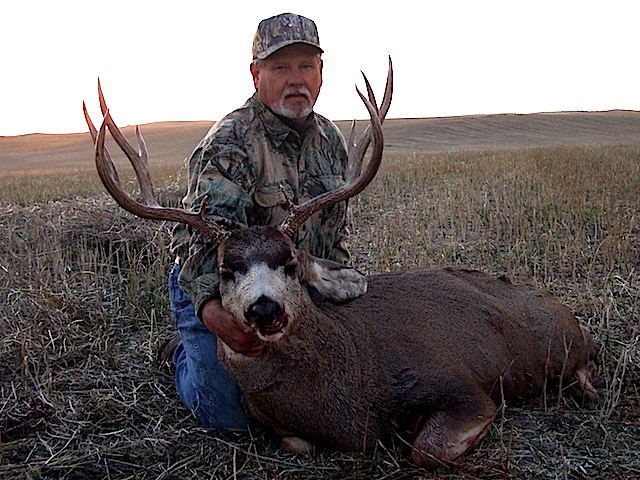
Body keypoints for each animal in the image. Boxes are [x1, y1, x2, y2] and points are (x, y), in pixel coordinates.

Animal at [83, 60, 598, 469]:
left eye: (290, 262)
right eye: (227, 271)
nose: (264, 309)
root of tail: (569, 316)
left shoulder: (460, 385)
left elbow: (426, 449)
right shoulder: (289, 431)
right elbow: (295, 443)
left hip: (559, 346)